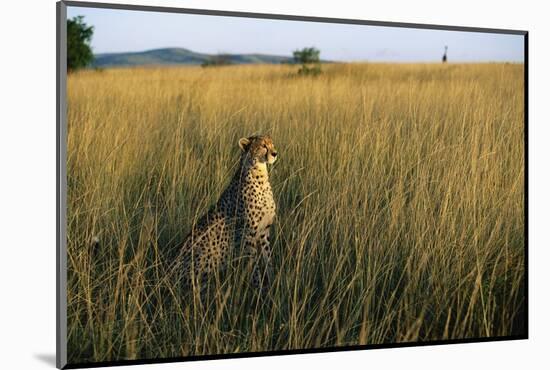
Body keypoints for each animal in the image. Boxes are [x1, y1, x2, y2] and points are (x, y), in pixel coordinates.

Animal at [178, 134, 280, 294]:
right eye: (263, 146)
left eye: (272, 144)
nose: (275, 153)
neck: (260, 175)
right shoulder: (247, 235)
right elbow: (254, 267)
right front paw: (259, 289)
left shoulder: (264, 231)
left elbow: (268, 260)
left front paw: (273, 282)